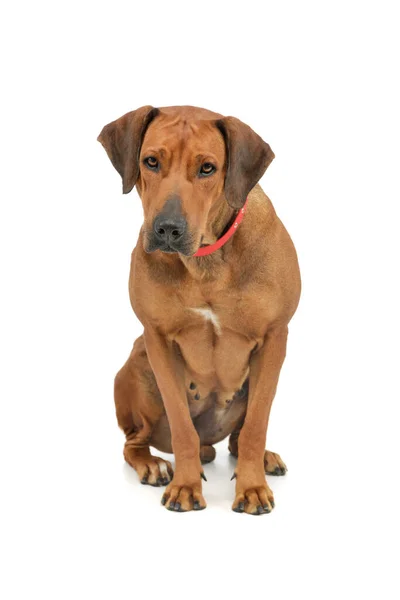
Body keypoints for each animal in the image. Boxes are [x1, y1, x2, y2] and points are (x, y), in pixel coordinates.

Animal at [98, 104, 300, 516]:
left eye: (207, 168)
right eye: (151, 161)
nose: (167, 229)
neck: (206, 259)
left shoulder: (275, 337)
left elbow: (256, 426)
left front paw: (252, 488)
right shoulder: (158, 340)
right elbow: (181, 428)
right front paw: (185, 485)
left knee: (240, 436)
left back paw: (260, 459)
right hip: (138, 365)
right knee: (135, 441)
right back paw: (155, 464)